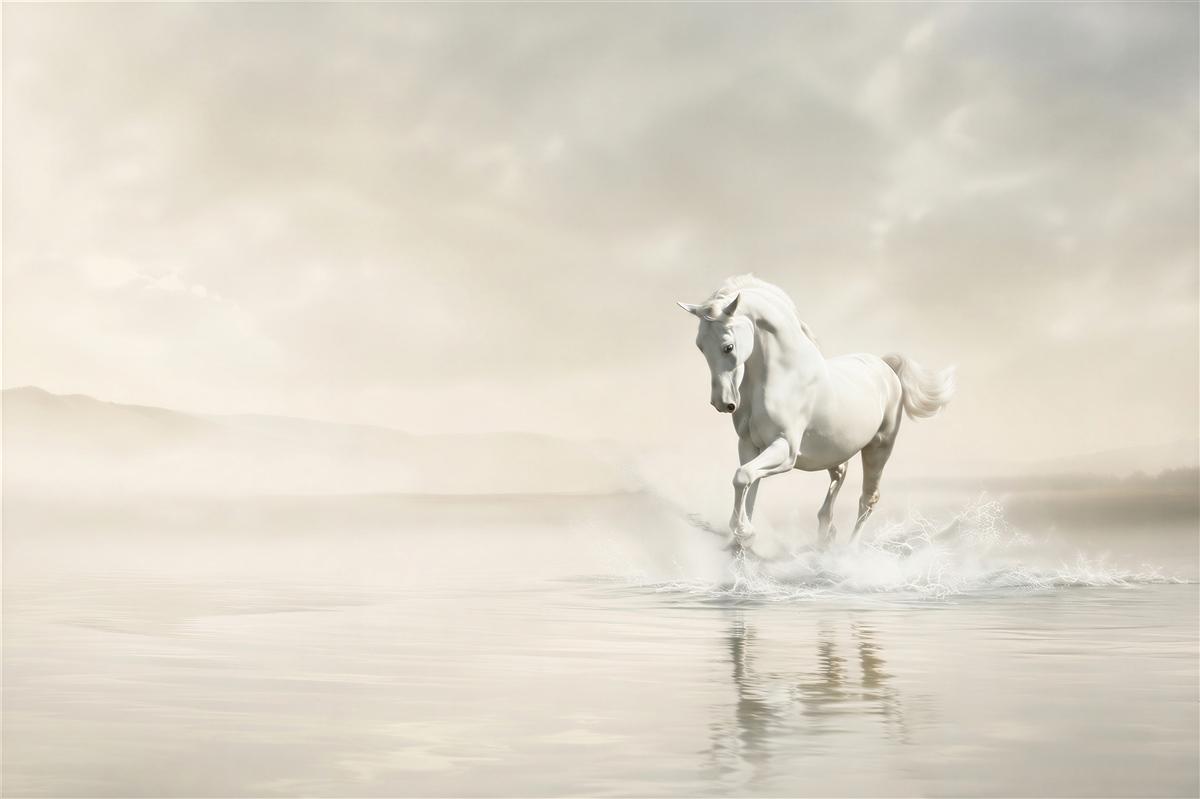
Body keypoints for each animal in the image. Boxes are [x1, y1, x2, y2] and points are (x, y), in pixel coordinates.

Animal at [678, 275, 955, 551]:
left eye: (728, 347)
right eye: (700, 346)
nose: (722, 403)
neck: (783, 375)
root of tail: (885, 366)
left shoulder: (785, 449)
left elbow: (742, 476)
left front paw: (744, 532)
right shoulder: (749, 446)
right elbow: (748, 486)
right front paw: (742, 538)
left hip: (879, 448)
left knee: (868, 498)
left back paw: (847, 549)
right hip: (834, 450)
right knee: (840, 473)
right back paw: (825, 533)